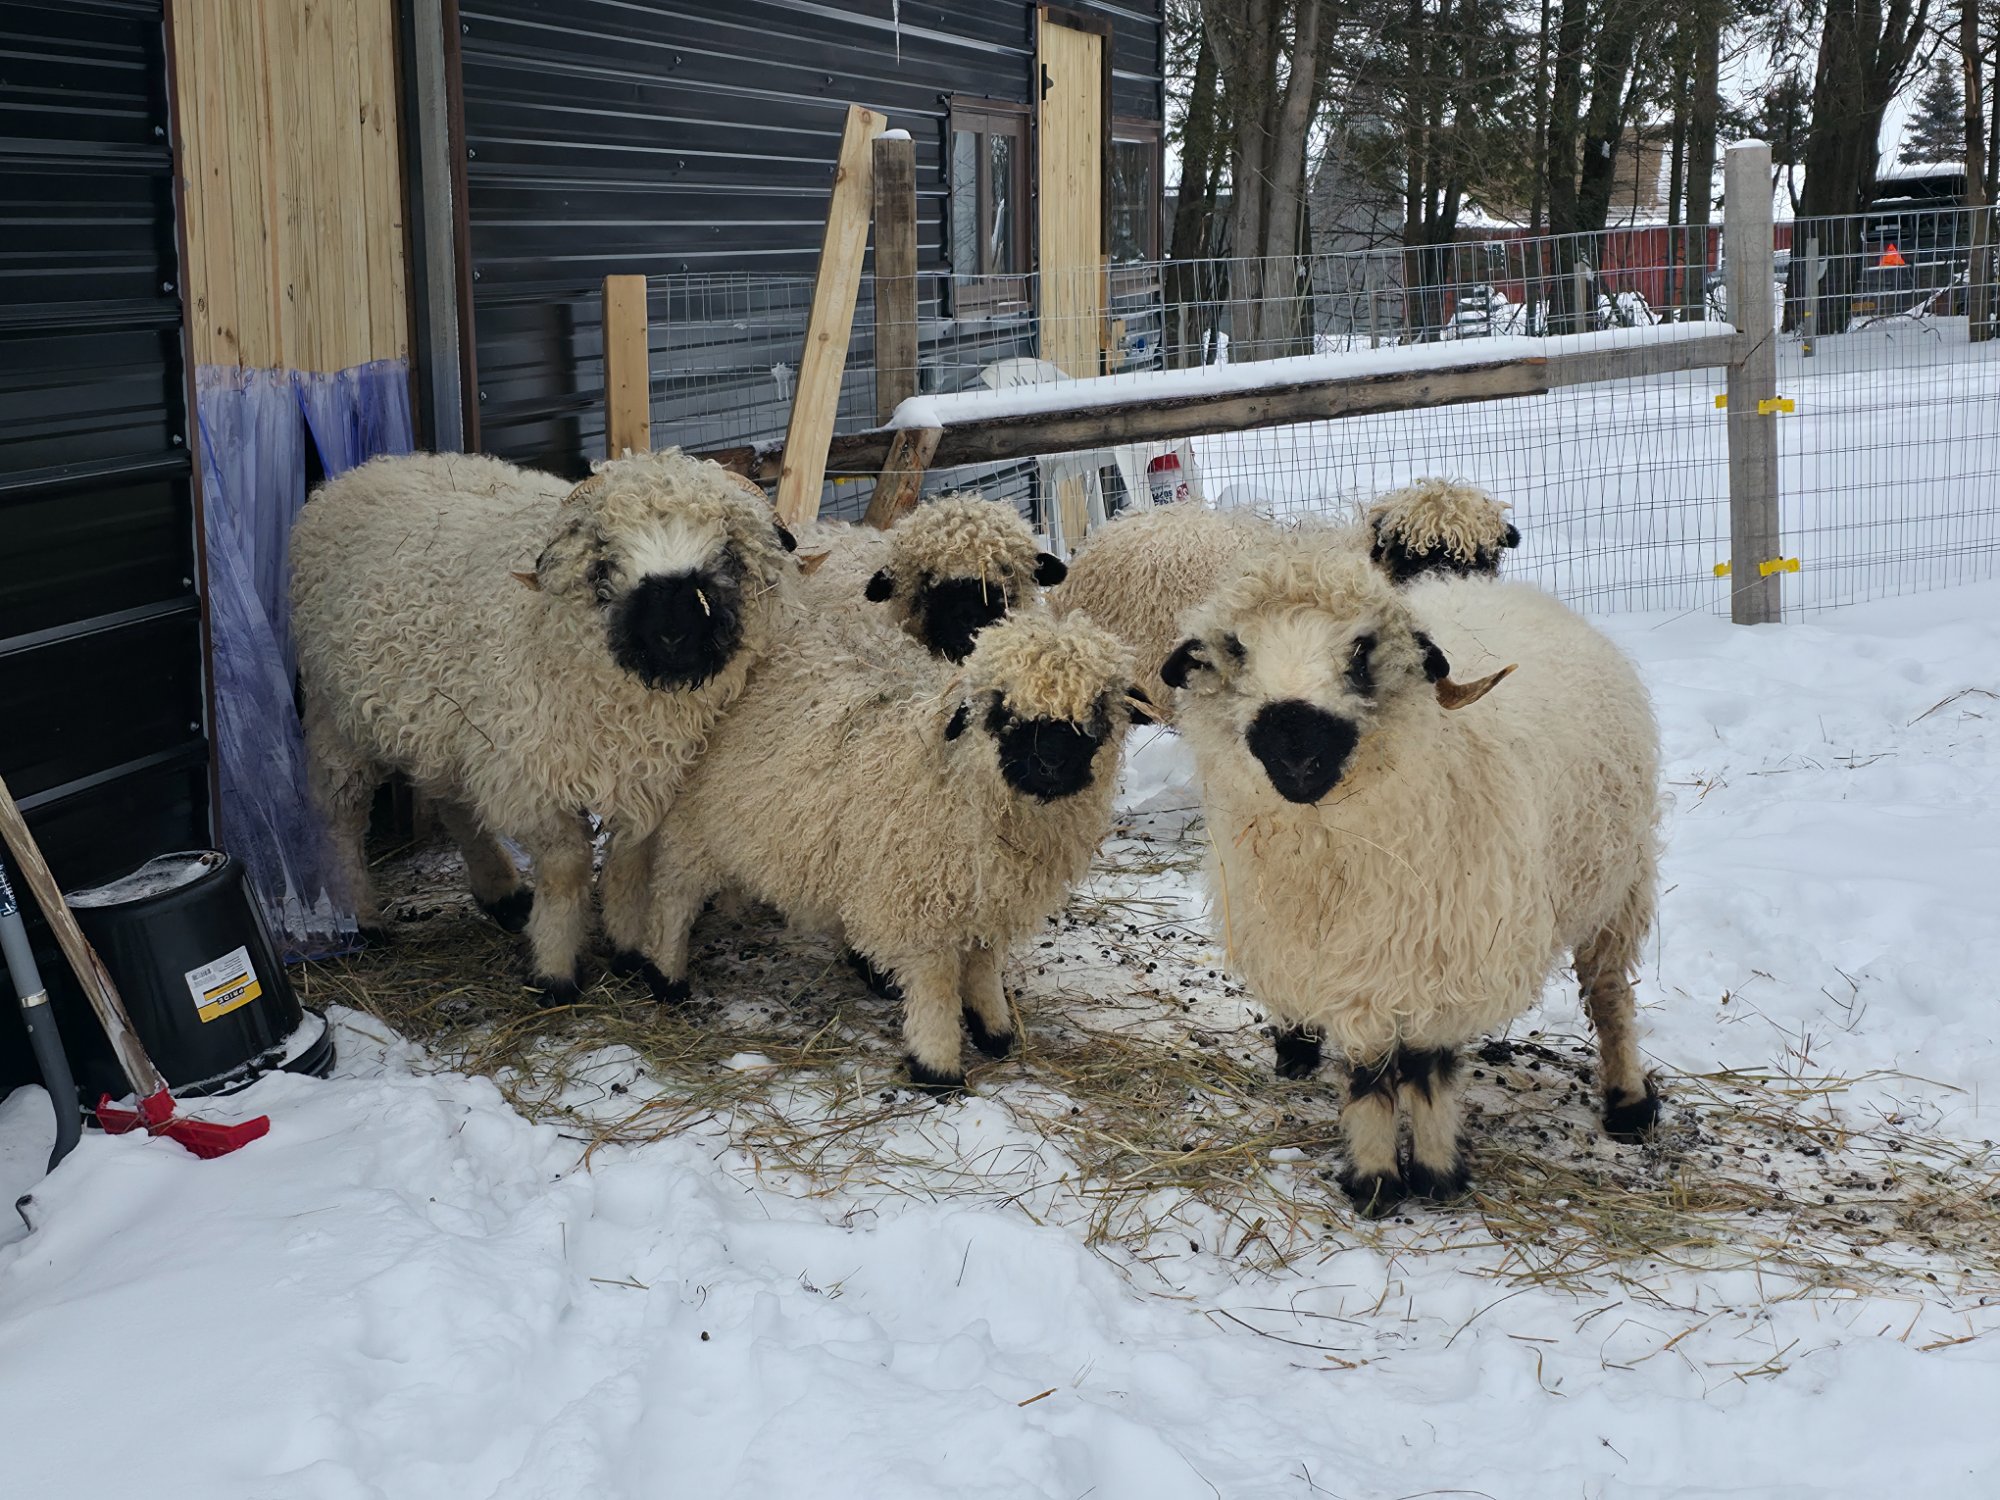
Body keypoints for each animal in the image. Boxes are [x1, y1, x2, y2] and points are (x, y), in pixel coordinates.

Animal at [290, 447, 801, 1003]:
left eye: (728, 554)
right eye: (604, 560)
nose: (672, 635)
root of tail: (362, 472)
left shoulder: (649, 778)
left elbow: (630, 865)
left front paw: (628, 950)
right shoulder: (531, 776)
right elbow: (567, 870)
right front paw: (554, 973)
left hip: (451, 725)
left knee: (454, 802)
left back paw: (502, 895)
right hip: (337, 716)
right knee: (340, 813)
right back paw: (365, 920)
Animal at [633, 609, 1148, 1092]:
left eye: (1098, 707)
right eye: (1001, 708)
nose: (1050, 764)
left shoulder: (985, 901)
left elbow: (983, 966)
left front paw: (994, 1030)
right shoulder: (923, 906)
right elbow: (936, 988)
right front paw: (937, 1068)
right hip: (694, 830)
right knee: (673, 898)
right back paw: (667, 977)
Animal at [1162, 537, 1661, 1216]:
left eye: (1361, 648)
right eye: (1236, 648)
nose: (1295, 746)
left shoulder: (1441, 951)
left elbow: (1426, 1067)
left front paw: (1435, 1174)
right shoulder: (1342, 958)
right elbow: (1368, 1072)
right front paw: (1374, 1181)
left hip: (1618, 883)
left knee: (1611, 995)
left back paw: (1629, 1103)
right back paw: (1296, 1044)